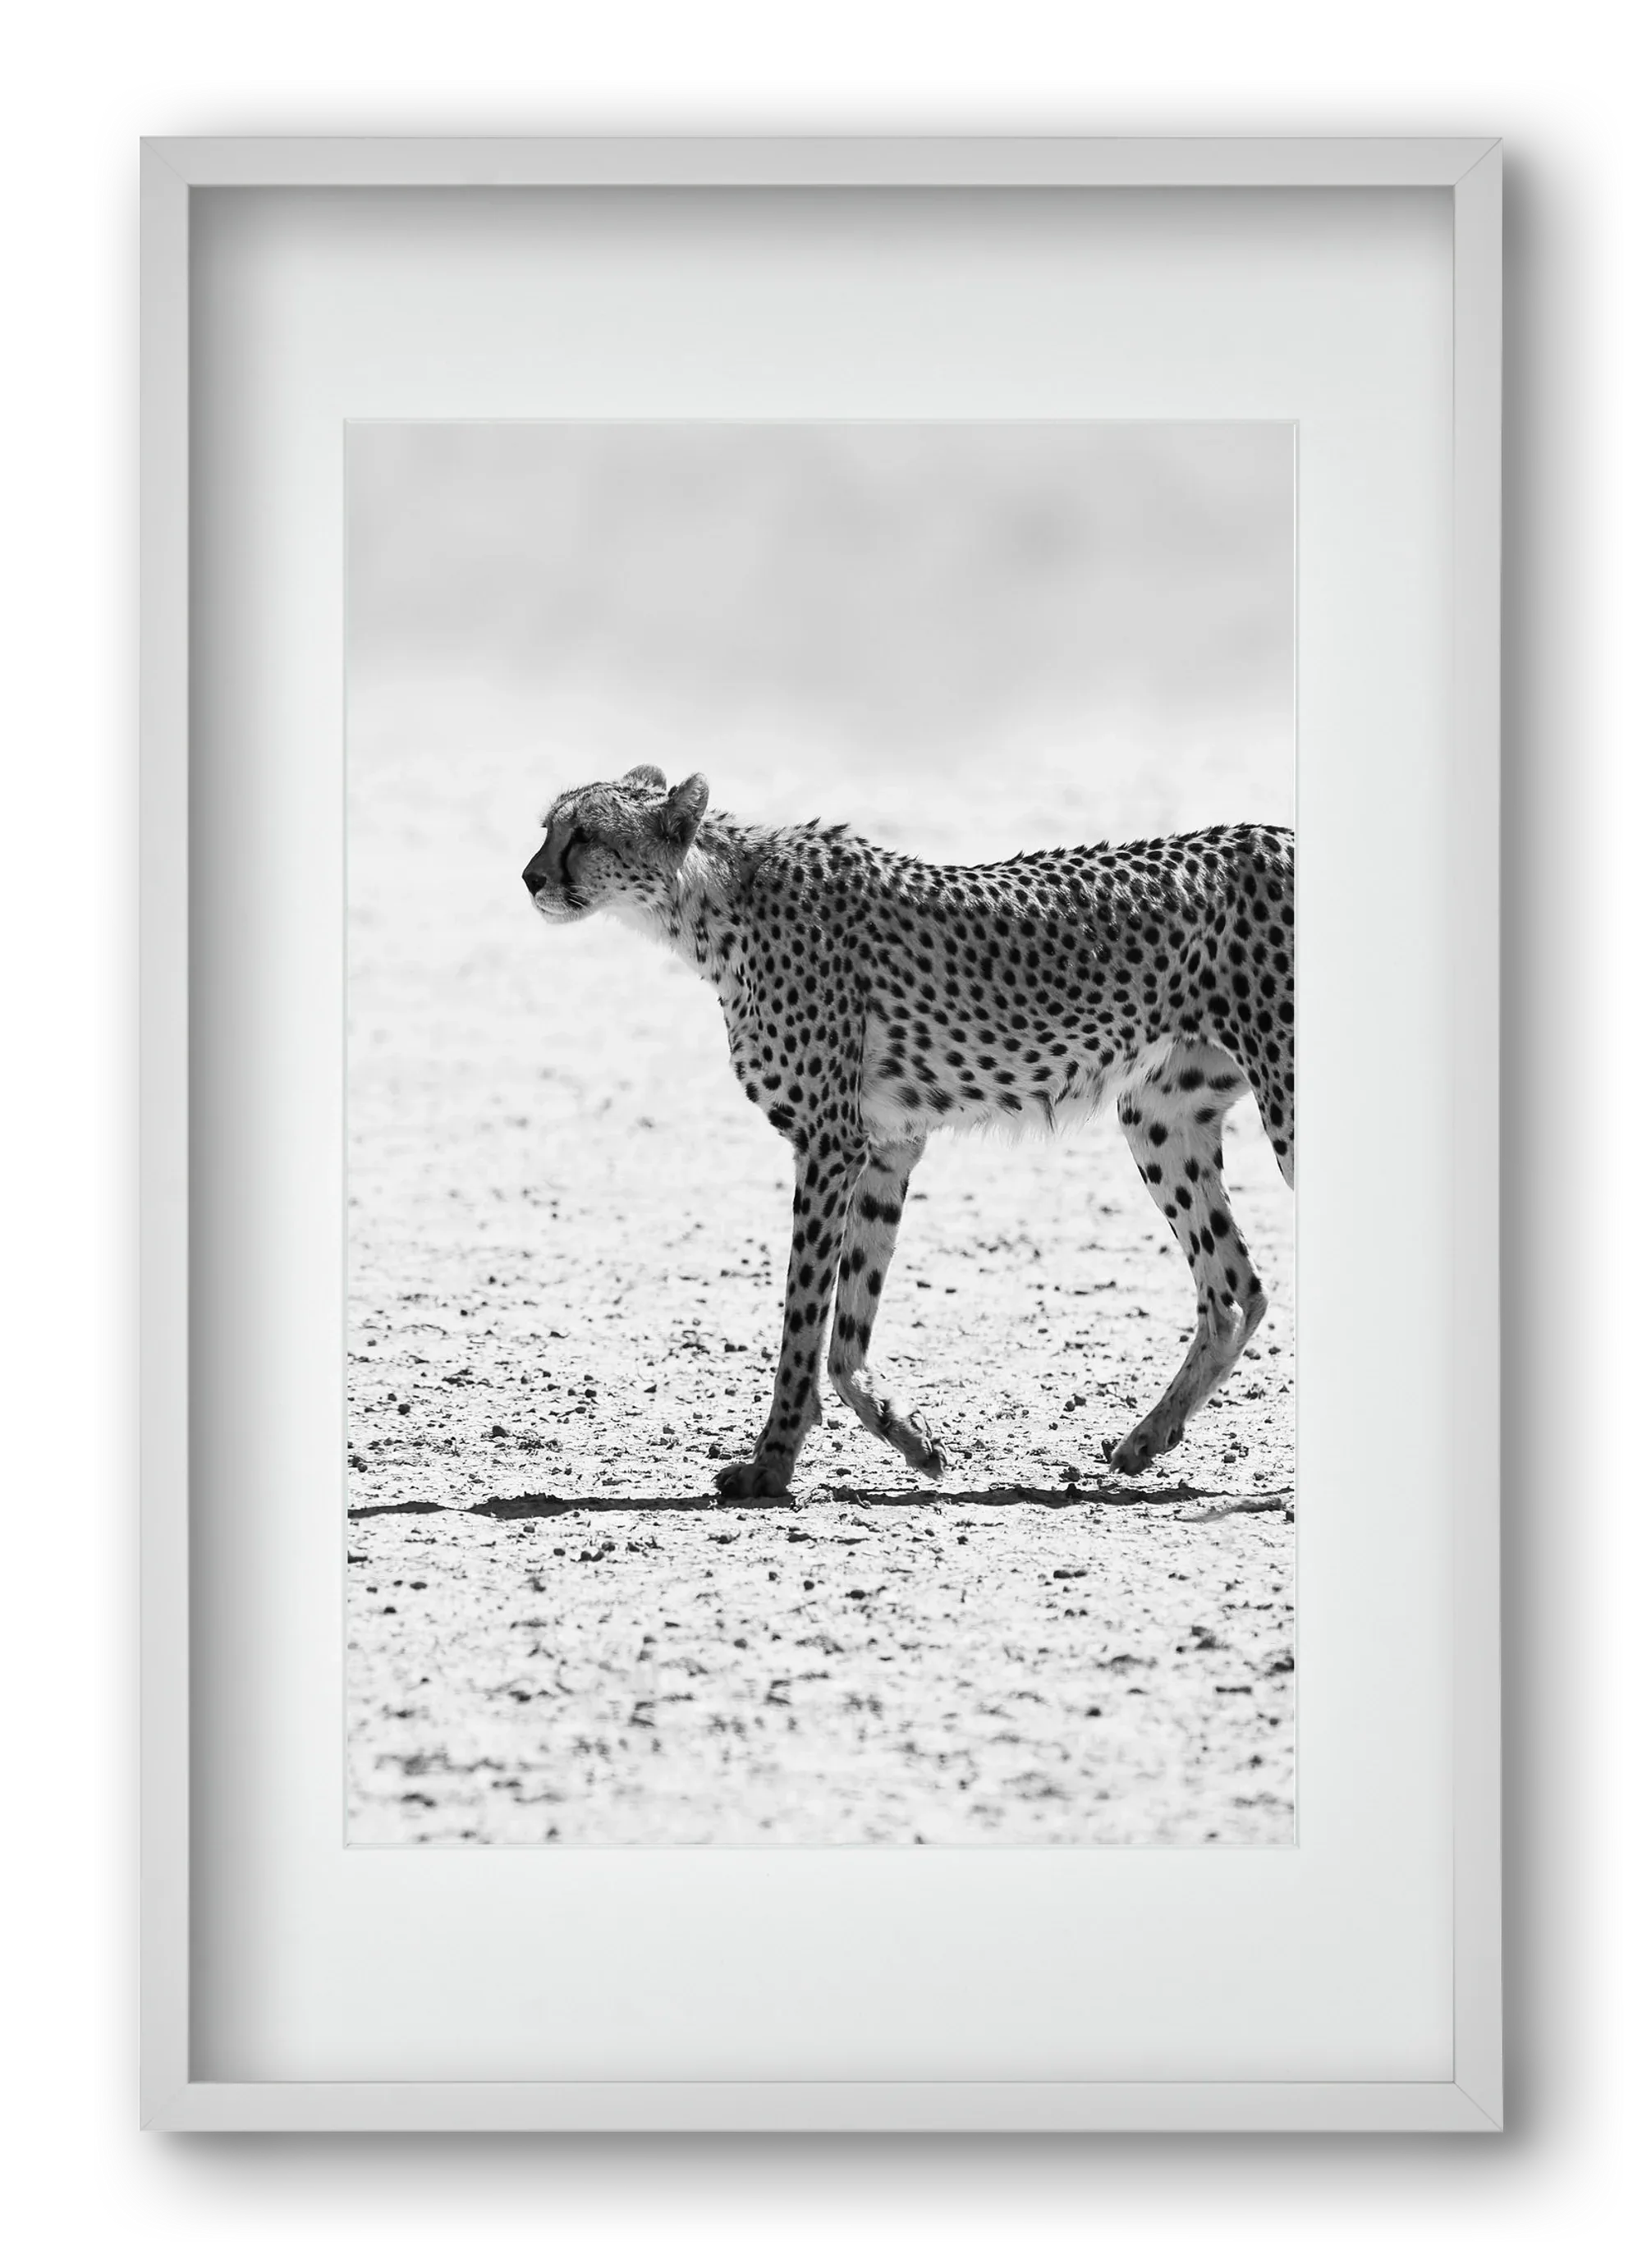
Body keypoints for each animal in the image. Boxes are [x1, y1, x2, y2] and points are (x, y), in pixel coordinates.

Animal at [524, 765, 1294, 1501]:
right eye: (548, 828)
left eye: (585, 834)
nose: (530, 877)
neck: (710, 903)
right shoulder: (886, 1146)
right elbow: (846, 1330)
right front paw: (910, 1436)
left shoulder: (829, 1143)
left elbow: (803, 1318)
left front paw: (770, 1464)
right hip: (1159, 1115)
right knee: (1234, 1289)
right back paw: (1146, 1438)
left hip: (1281, 1100)